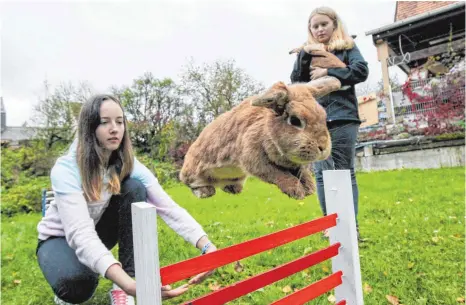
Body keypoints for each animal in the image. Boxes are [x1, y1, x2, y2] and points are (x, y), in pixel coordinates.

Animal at [180, 76, 340, 200]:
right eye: (295, 120)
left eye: (324, 116)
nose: (323, 147)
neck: (267, 132)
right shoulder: (253, 157)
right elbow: (277, 174)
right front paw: (296, 191)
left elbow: (303, 173)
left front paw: (309, 188)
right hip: (194, 172)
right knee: (190, 183)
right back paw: (206, 191)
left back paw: (233, 189)